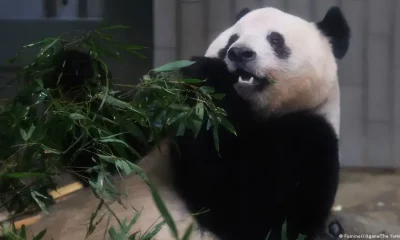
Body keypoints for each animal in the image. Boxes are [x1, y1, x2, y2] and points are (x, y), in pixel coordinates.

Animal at [25, 4, 350, 240]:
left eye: (275, 39)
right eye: (232, 39)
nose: (239, 53)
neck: (251, 114)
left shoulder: (310, 140)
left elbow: (250, 212)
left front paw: (209, 76)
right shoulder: (165, 124)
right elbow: (106, 152)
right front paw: (75, 66)